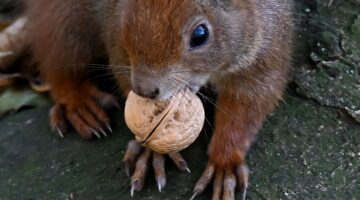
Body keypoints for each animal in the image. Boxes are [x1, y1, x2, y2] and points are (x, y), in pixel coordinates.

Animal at [23, 0, 292, 199]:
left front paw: (225, 163)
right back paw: (78, 102)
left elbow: (250, 103)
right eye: (128, 14)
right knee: (57, 57)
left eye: (200, 34)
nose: (144, 89)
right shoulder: (116, 35)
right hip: (65, 18)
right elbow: (121, 70)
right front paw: (152, 152)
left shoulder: (265, 44)